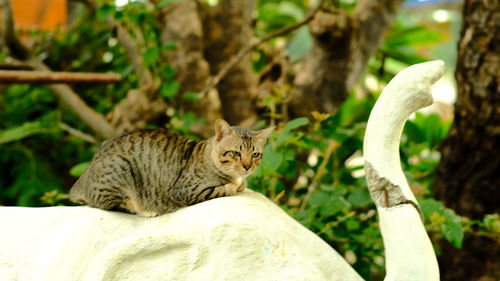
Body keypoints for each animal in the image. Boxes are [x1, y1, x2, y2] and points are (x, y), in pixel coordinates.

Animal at [68, 118, 274, 217]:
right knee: (109, 205)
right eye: (236, 153)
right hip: (120, 172)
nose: (247, 167)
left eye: (255, 155)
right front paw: (234, 186)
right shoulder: (186, 190)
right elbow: (224, 189)